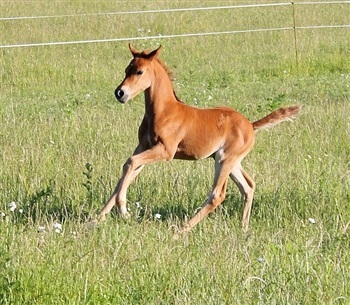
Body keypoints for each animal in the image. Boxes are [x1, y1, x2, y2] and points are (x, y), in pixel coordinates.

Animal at [98, 44, 300, 232]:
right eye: (126, 70)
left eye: (140, 71)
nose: (120, 93)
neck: (163, 111)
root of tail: (250, 125)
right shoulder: (143, 147)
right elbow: (127, 172)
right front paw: (97, 219)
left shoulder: (165, 151)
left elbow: (130, 163)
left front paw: (123, 210)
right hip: (231, 161)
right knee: (248, 187)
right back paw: (243, 228)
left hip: (224, 159)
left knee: (218, 195)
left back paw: (181, 231)